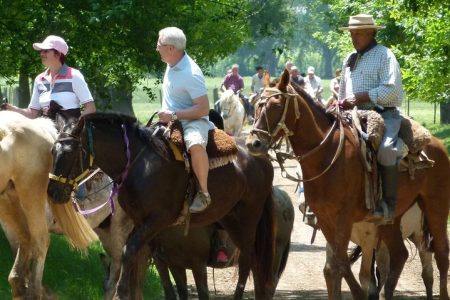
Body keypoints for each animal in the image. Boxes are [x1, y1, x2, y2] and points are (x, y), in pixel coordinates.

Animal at [0, 111, 97, 298]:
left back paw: (33, 291)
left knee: (40, 240)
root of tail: (39, 125)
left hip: (30, 195)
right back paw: (19, 284)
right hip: (7, 198)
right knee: (25, 237)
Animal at [47, 113, 276, 300]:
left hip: (247, 220)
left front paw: (122, 291)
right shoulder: (143, 226)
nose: (52, 192)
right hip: (229, 218)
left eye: (69, 152)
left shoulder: (157, 220)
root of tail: (259, 156)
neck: (138, 164)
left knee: (248, 260)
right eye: (52, 150)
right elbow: (151, 265)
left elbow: (128, 251)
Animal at [246, 71, 450, 300]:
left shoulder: (344, 219)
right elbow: (337, 265)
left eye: (276, 105)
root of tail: (437, 145)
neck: (327, 154)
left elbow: (341, 266)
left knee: (441, 254)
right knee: (399, 255)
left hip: (436, 206)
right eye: (256, 105)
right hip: (393, 219)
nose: (253, 143)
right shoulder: (326, 220)